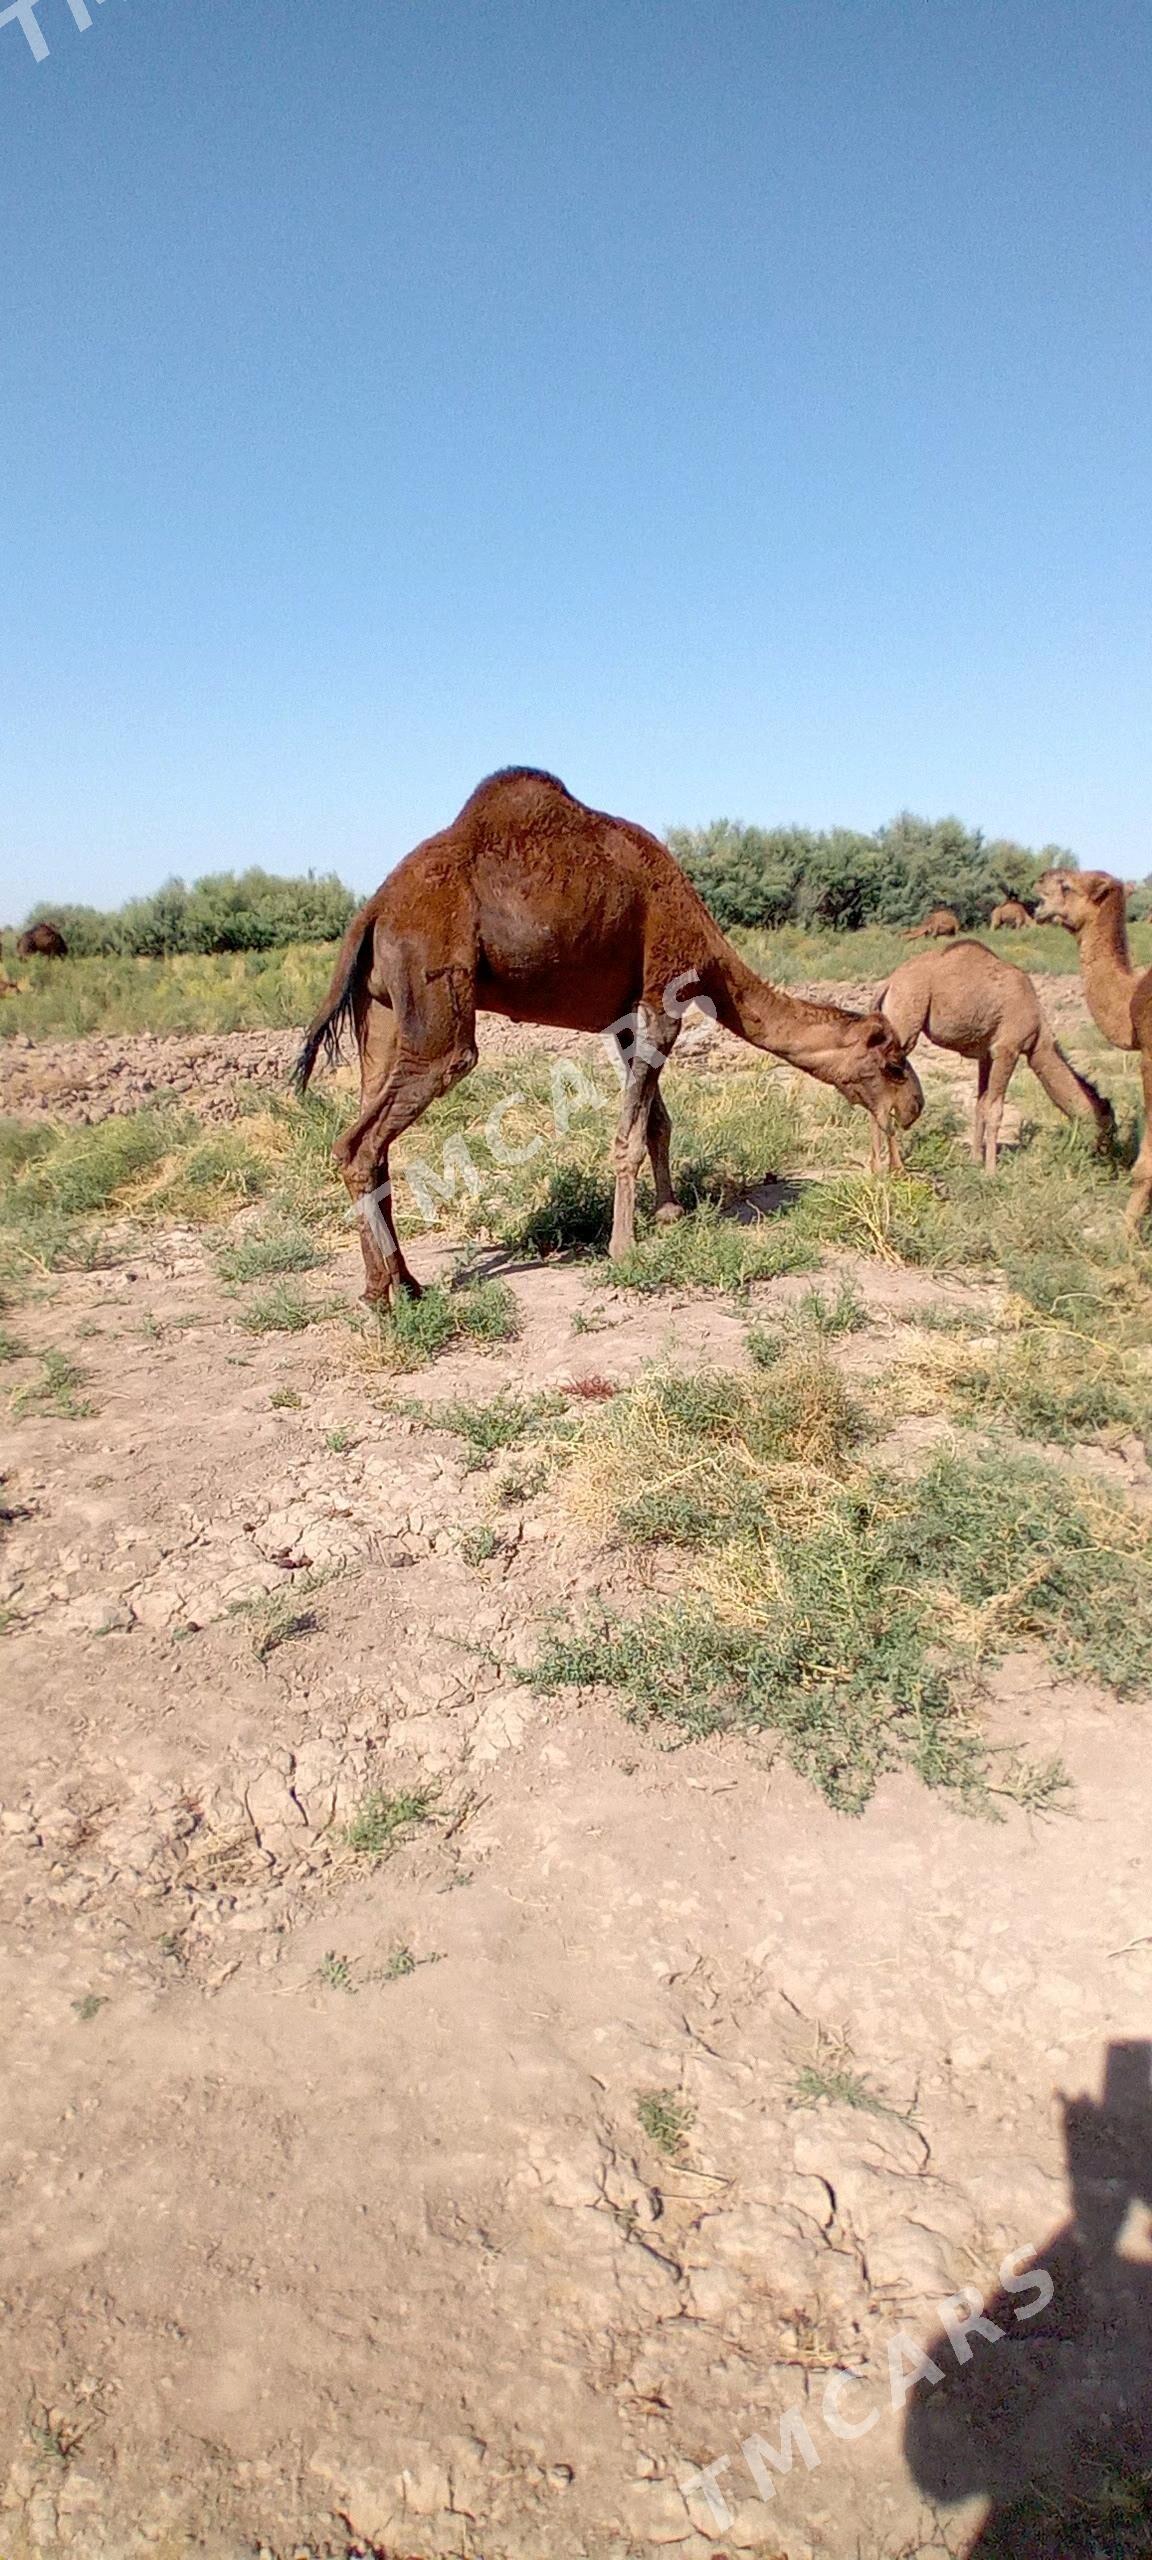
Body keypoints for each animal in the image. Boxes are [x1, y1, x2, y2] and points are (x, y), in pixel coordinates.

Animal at [296, 762, 926, 1300]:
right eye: (893, 1063)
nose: (914, 1107)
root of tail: (372, 909)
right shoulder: (666, 992)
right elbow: (631, 1134)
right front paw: (625, 1248)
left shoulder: (627, 1013)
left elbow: (657, 1121)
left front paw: (669, 1213)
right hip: (433, 993)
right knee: (367, 1136)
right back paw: (392, 1295)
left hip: (381, 1011)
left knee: (368, 1134)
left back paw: (392, 1284)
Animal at [875, 936, 1111, 1172]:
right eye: (1108, 1126)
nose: (1106, 1154)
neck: (1039, 1037)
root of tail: (889, 984)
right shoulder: (1007, 1049)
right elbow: (996, 1109)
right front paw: (991, 1170)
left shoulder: (986, 1055)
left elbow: (981, 1104)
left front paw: (975, 1160)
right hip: (905, 1025)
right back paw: (882, 1166)